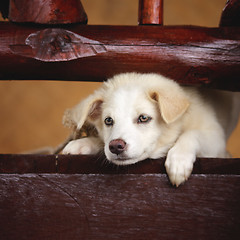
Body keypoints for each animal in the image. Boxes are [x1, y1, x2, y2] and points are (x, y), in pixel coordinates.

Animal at [62, 72, 240, 186]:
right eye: (108, 121)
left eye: (143, 118)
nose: (116, 146)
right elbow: (103, 142)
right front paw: (82, 144)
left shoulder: (216, 138)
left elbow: (192, 133)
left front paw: (179, 160)